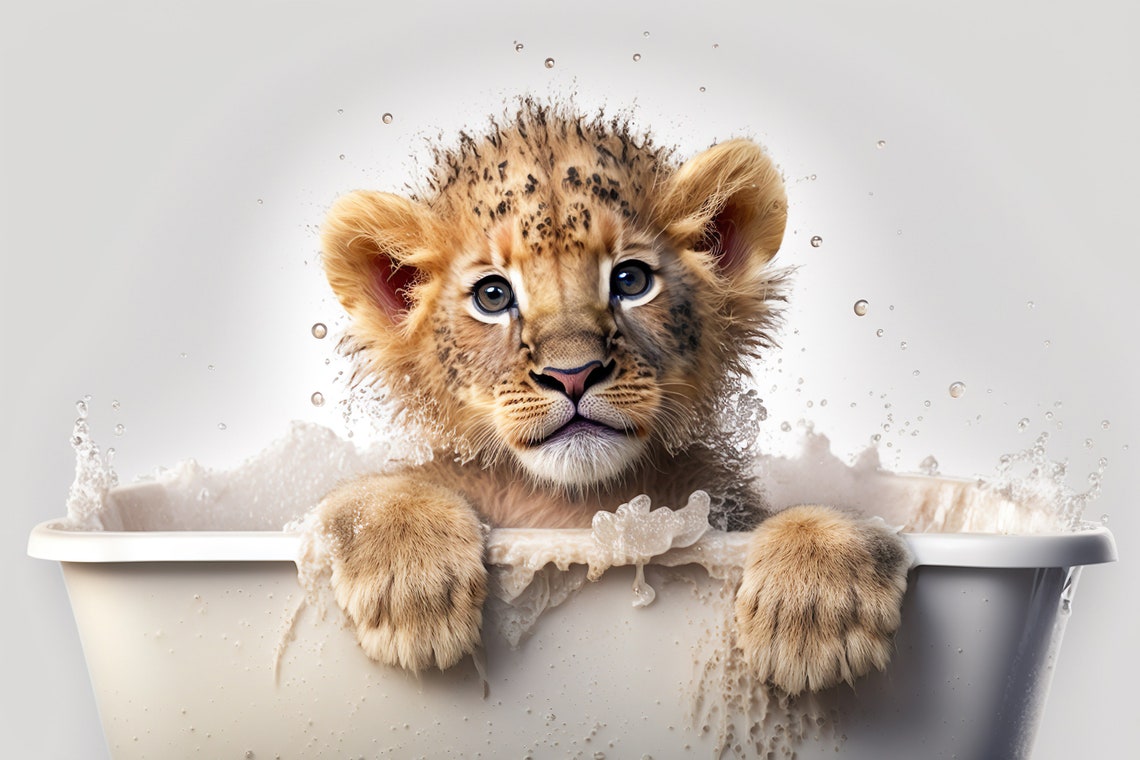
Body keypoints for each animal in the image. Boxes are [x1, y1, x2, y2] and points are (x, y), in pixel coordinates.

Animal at [315, 100, 909, 696]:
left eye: (630, 280)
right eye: (493, 295)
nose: (573, 374)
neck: (574, 511)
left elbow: (808, 519)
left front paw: (815, 604)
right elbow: (376, 494)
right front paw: (409, 586)